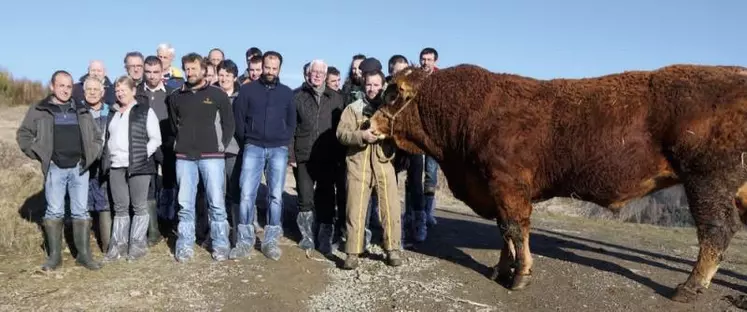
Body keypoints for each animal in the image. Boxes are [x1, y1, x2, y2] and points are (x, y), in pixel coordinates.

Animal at [372, 64, 747, 302]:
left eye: (394, 93)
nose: (368, 123)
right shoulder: (495, 190)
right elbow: (503, 231)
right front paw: (501, 269)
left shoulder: (507, 185)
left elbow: (514, 228)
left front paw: (520, 276)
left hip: (707, 180)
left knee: (716, 230)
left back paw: (689, 287)